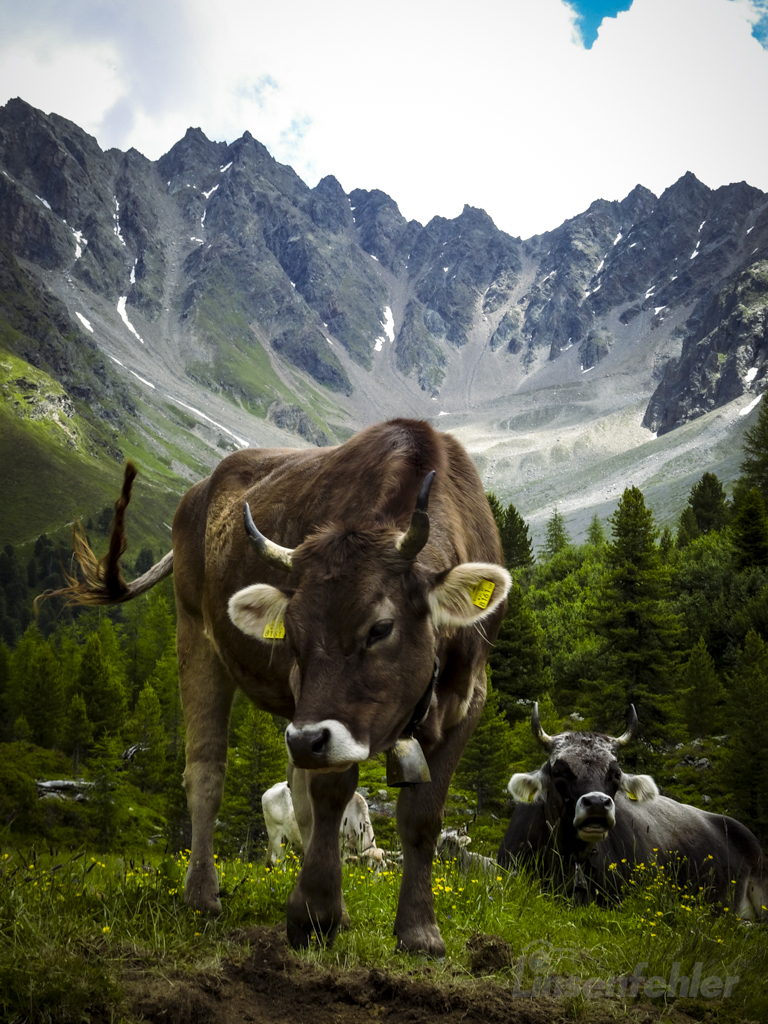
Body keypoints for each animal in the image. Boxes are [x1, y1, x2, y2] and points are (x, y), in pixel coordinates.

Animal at [51, 419, 510, 956]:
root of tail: (198, 492)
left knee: (297, 793)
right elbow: (331, 792)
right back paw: (202, 895)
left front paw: (419, 932)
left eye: (380, 628)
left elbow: (422, 816)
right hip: (195, 632)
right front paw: (314, 914)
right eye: (291, 633)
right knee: (207, 774)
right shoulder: (313, 708)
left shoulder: (468, 698)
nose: (307, 738)